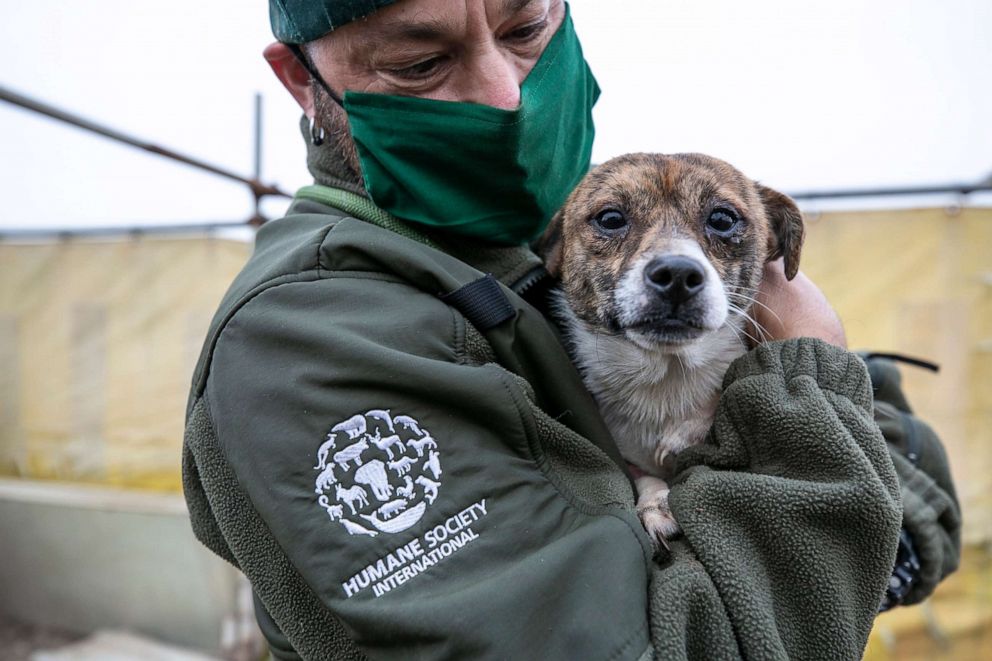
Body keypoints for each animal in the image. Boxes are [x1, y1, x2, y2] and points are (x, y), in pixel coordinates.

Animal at [540, 153, 804, 548]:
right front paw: (656, 504)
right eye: (610, 218)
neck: (666, 375)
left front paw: (685, 435)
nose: (677, 274)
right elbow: (643, 477)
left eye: (722, 219)